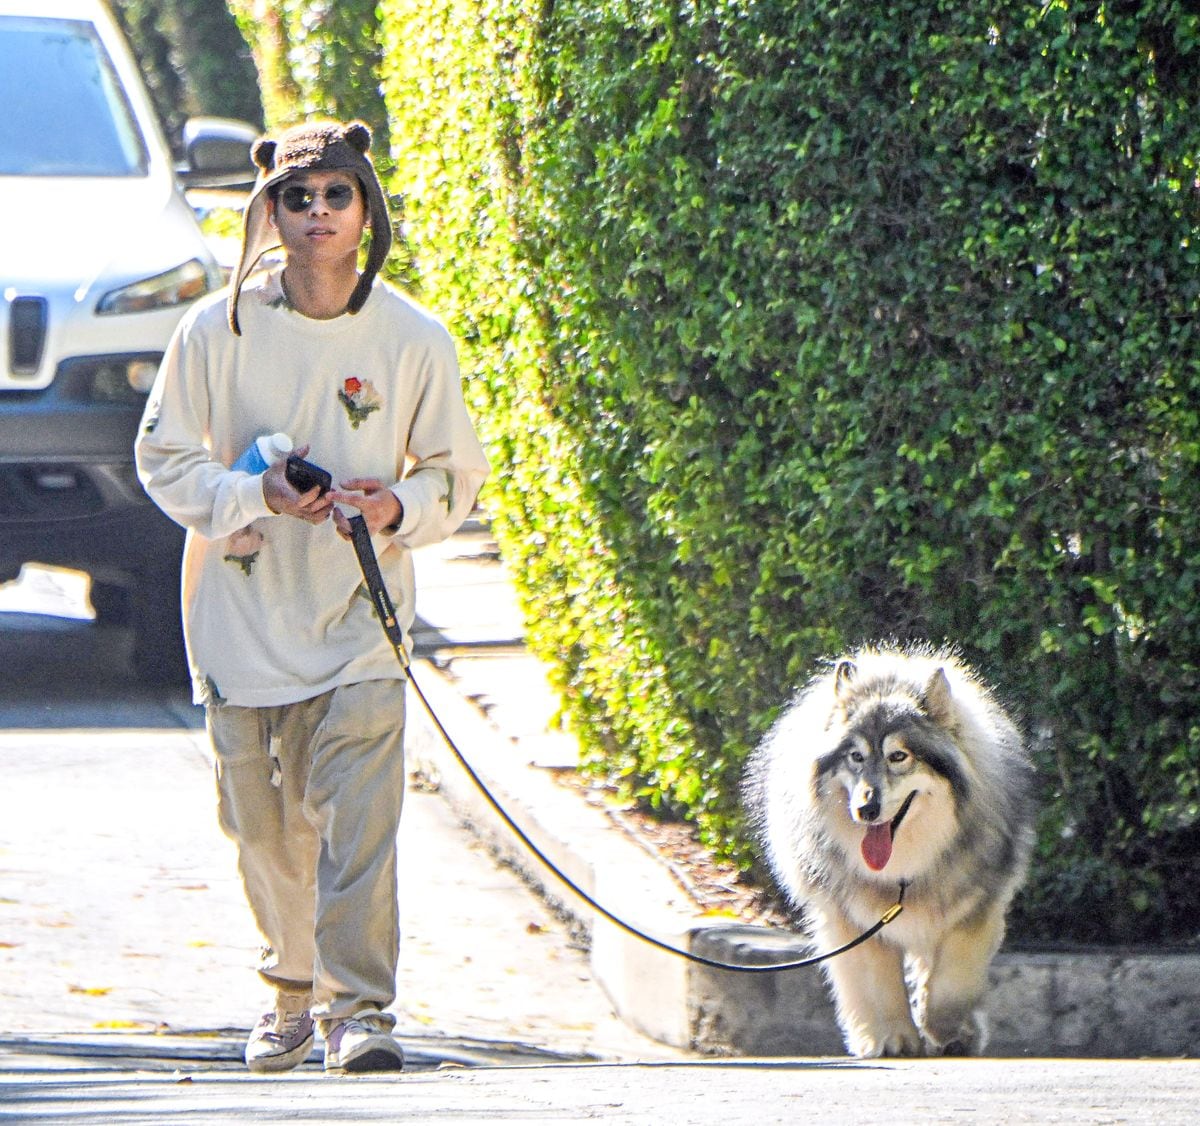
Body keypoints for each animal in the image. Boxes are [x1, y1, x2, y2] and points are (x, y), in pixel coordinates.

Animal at [744, 638, 1036, 1051]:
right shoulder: (855, 919)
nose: (866, 809)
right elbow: (879, 985)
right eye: (856, 757)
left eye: (899, 756)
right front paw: (895, 1038)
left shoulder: (974, 909)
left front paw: (945, 1029)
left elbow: (951, 983)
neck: (904, 870)